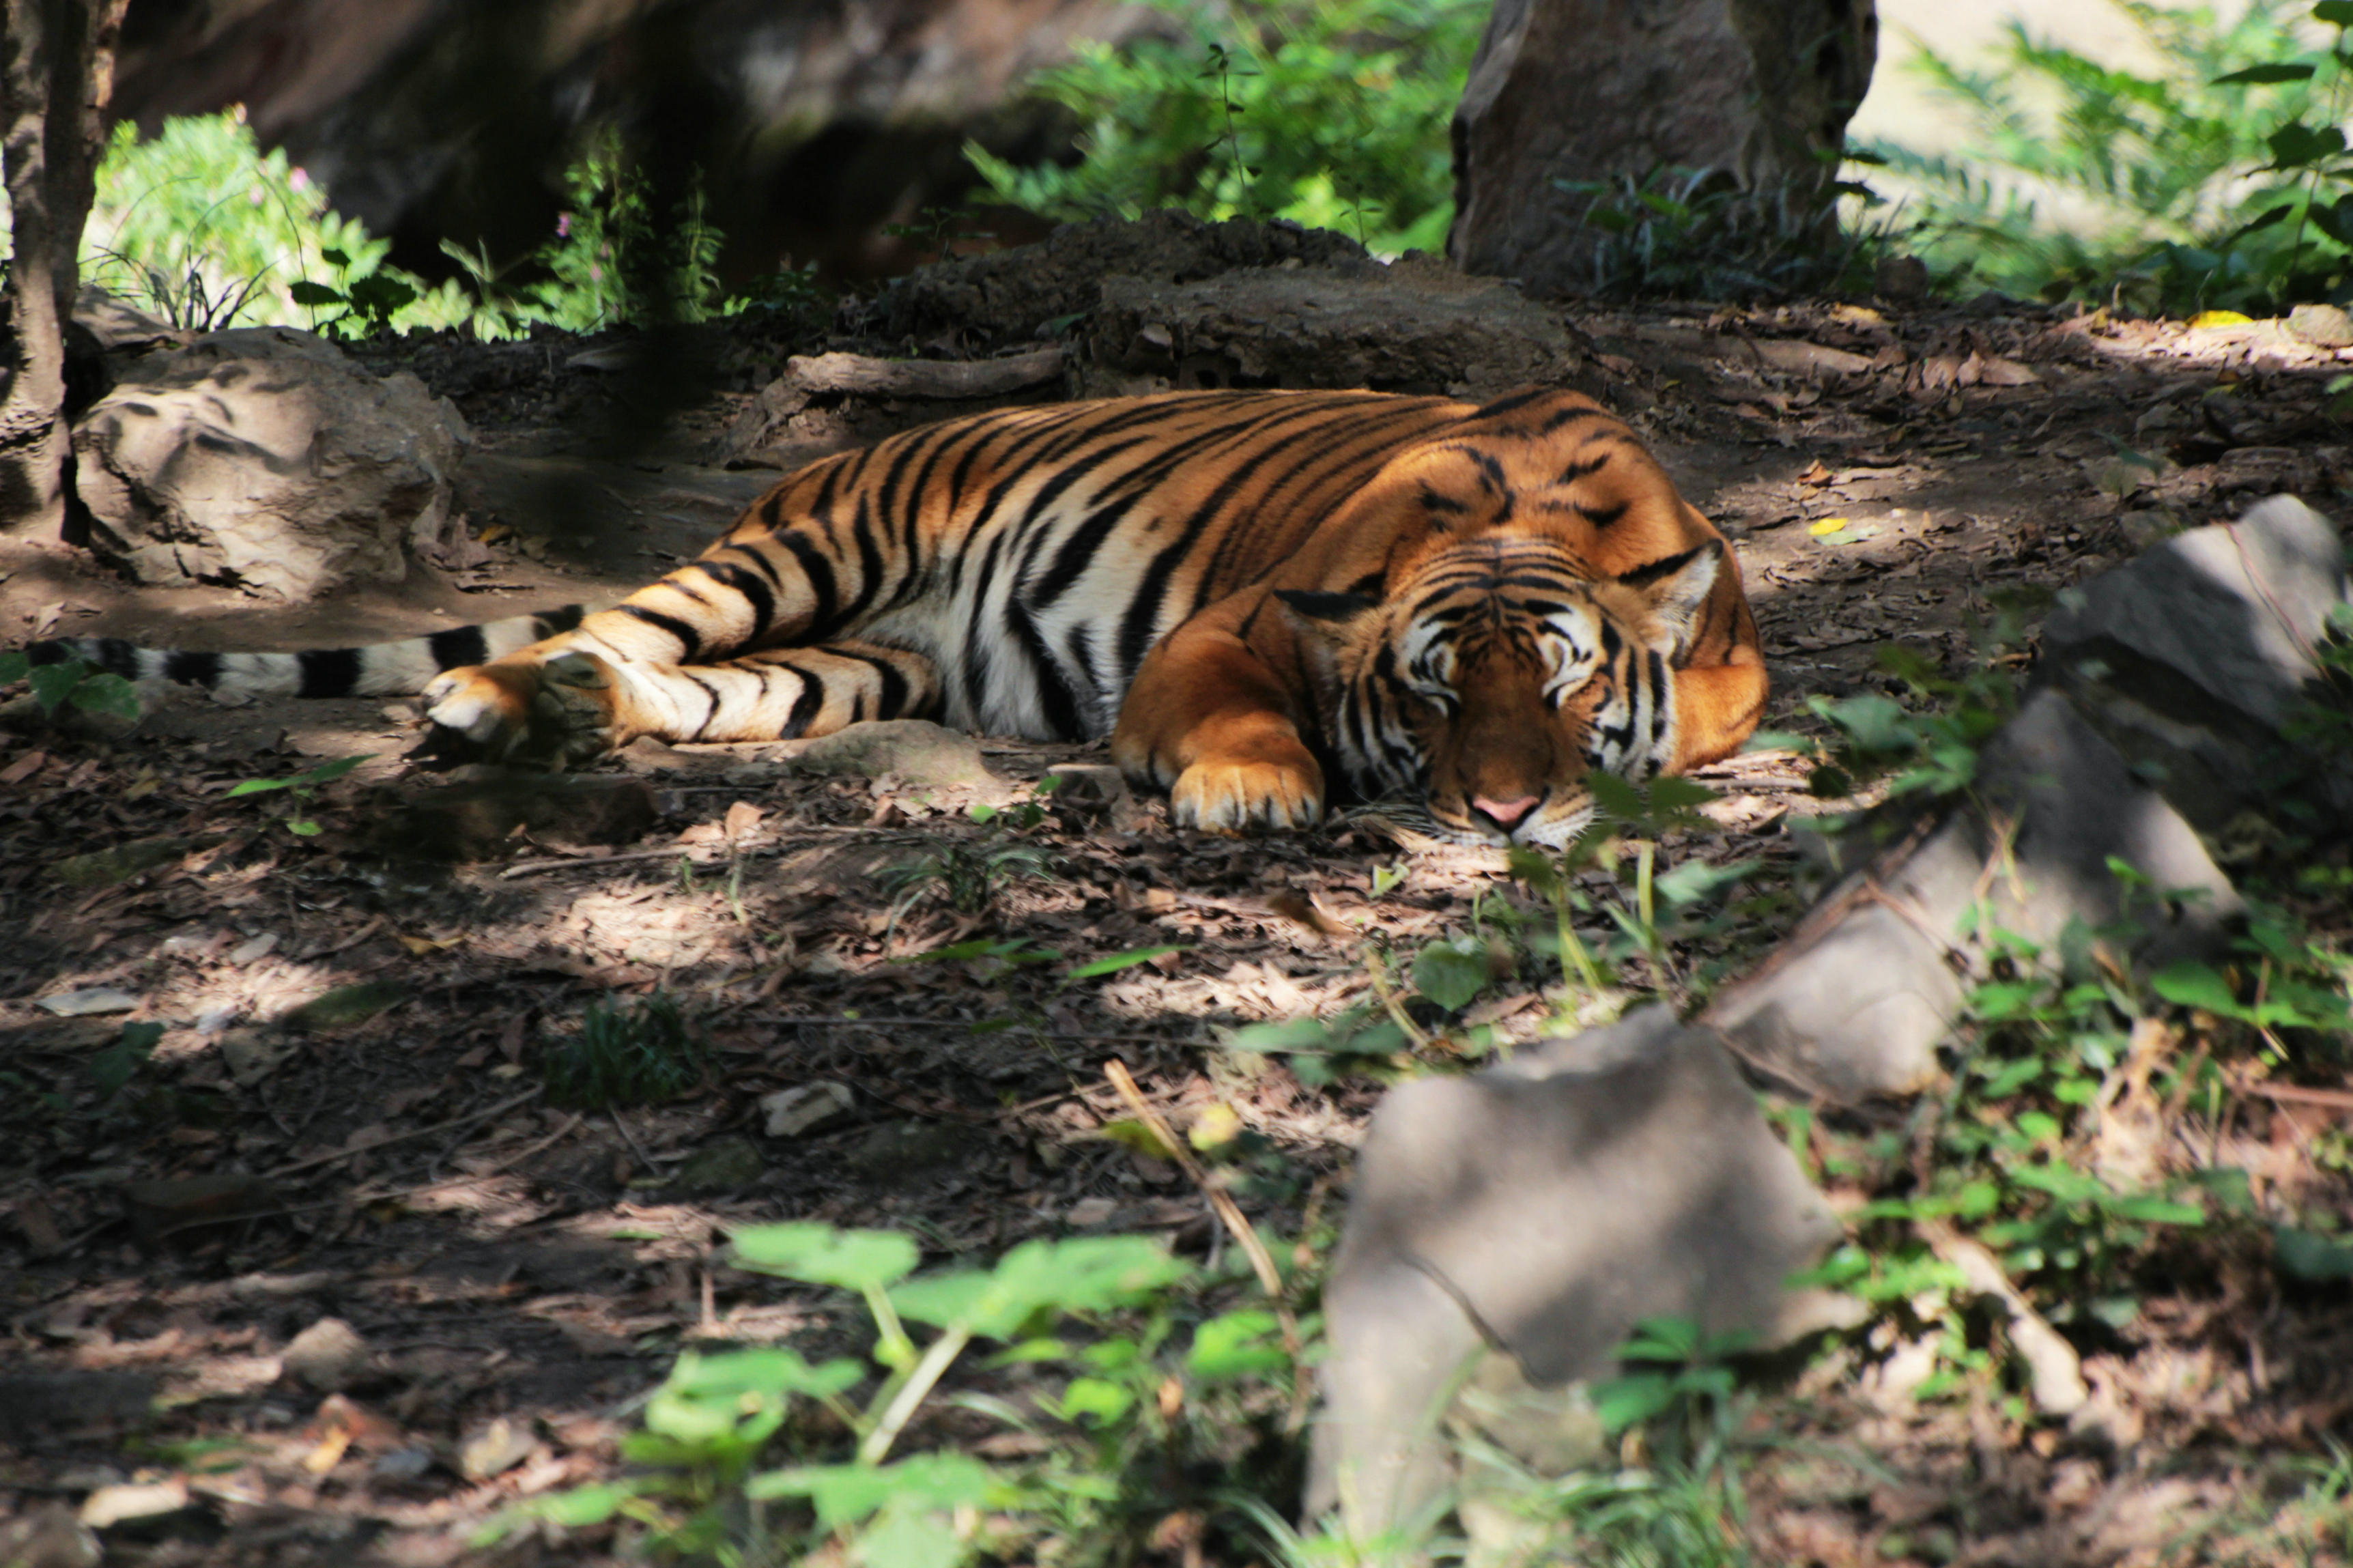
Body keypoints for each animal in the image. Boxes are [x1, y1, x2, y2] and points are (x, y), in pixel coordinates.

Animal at [32, 388, 1769, 842]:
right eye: (1428, 691)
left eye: (1559, 690)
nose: (1502, 812)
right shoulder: (1227, 630)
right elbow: (1235, 710)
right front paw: (1247, 789)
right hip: (794, 561)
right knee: (621, 622)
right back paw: (486, 703)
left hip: (835, 671)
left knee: (669, 680)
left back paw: (575, 714)